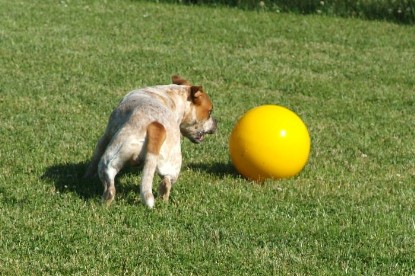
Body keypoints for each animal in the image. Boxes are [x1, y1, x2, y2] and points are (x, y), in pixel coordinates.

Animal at [83, 75, 216, 207]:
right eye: (209, 112)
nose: (216, 123)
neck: (172, 96)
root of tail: (156, 126)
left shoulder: (105, 137)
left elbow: (94, 159)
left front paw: (87, 177)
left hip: (111, 158)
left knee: (110, 186)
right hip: (171, 163)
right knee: (166, 183)